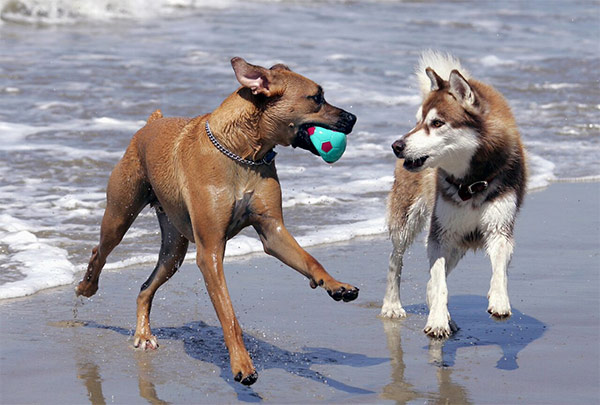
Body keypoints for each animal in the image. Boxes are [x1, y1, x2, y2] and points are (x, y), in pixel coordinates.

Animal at [74, 56, 356, 386]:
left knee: (145, 288)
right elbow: (229, 315)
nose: (353, 117)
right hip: (120, 214)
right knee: (100, 251)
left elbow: (310, 260)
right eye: (316, 98)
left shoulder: (273, 231)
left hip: (173, 250)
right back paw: (86, 287)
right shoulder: (210, 252)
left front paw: (336, 285)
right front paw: (242, 365)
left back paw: (143, 334)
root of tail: (149, 124)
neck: (242, 152)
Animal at [384, 51, 524, 338]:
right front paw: (437, 320)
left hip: (461, 240)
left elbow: (499, 269)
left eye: (437, 123)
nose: (396, 145)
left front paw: (499, 300)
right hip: (409, 218)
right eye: (419, 121)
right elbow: (439, 283)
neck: (471, 182)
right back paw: (392, 305)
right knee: (396, 259)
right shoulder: (439, 235)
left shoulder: (499, 228)